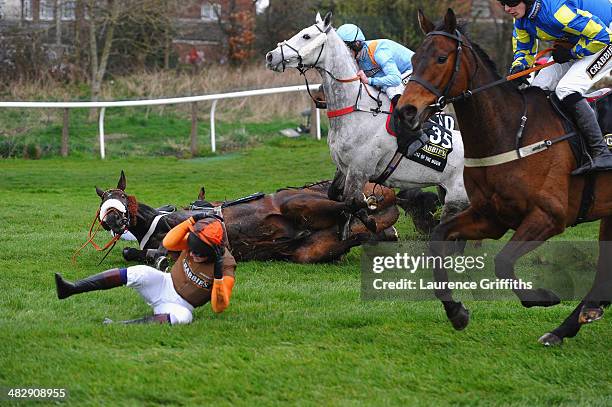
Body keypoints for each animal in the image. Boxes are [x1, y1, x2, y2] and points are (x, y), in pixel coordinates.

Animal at [94, 171, 402, 266]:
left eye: (121, 196)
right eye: (102, 204)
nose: (113, 221)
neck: (155, 222)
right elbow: (132, 252)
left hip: (299, 203)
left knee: (348, 204)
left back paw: (366, 209)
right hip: (310, 252)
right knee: (356, 234)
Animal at [394, 8, 608, 348]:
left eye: (441, 58)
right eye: (414, 59)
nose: (406, 111)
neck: (510, 132)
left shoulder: (549, 215)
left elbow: (503, 262)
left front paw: (541, 296)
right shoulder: (491, 216)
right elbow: (438, 238)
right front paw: (456, 311)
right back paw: (569, 326)